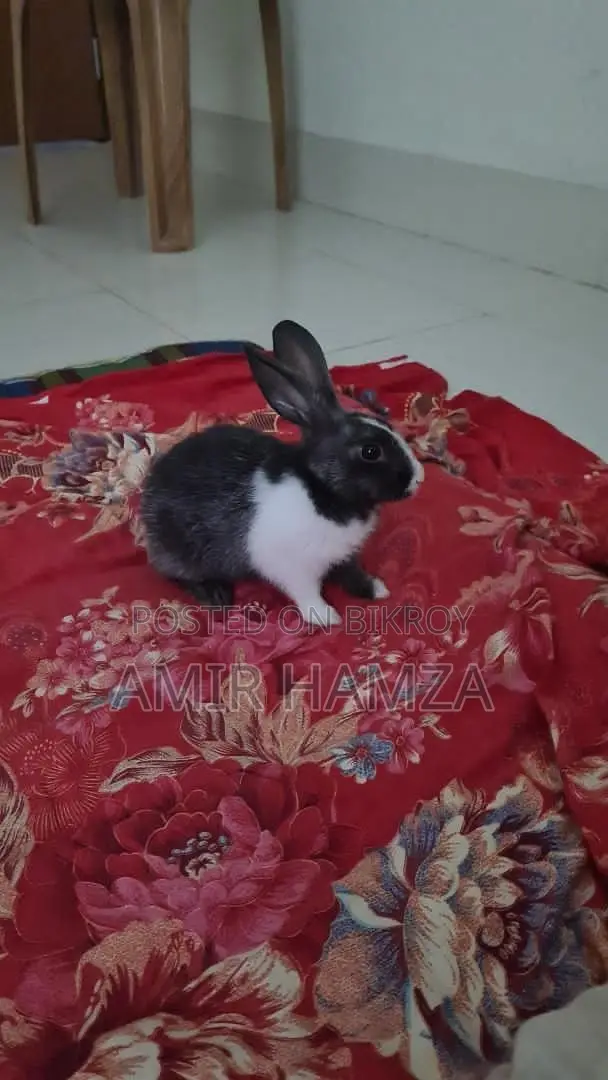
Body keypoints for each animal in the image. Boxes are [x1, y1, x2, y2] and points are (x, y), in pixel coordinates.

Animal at [140, 319, 424, 628]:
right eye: (370, 451)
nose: (418, 478)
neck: (321, 490)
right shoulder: (290, 566)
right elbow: (307, 592)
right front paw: (326, 617)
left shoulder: (343, 555)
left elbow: (351, 573)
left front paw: (375, 589)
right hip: (180, 552)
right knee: (174, 573)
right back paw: (216, 594)